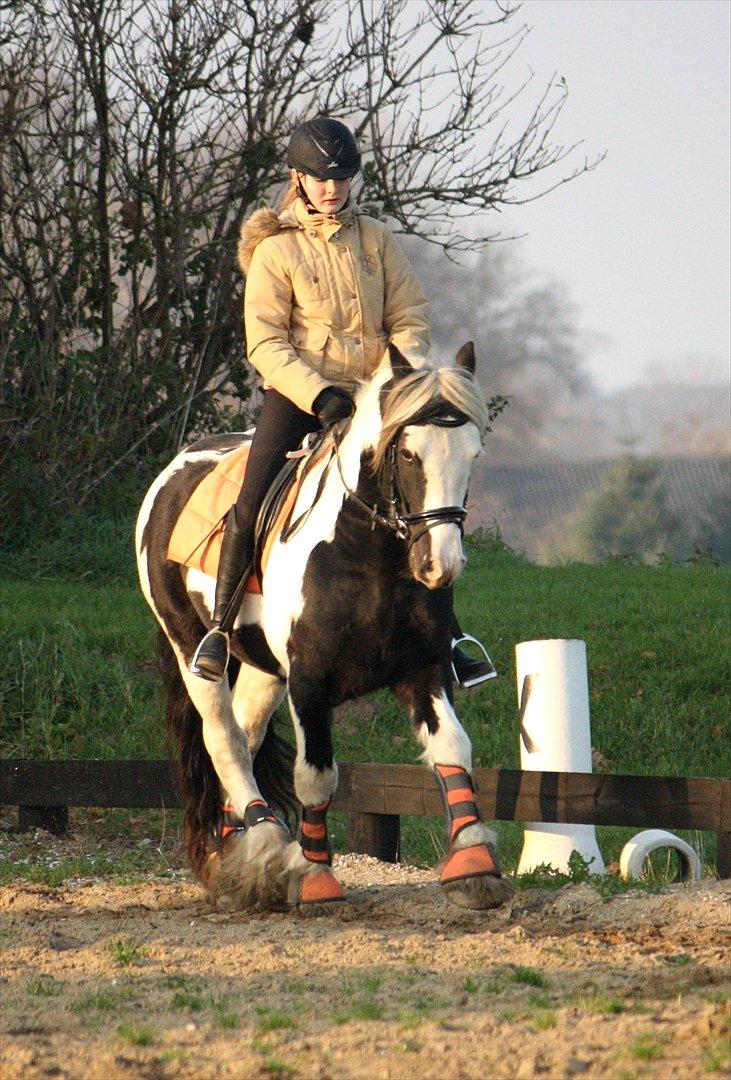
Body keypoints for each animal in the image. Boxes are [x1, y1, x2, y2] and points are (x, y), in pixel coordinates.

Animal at [137, 343, 513, 911]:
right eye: (408, 455)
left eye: (473, 455)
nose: (440, 565)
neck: (368, 559)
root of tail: (175, 470)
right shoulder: (310, 683)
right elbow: (315, 776)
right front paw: (315, 876)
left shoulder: (423, 671)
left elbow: (452, 748)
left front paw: (473, 865)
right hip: (190, 649)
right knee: (223, 738)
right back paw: (268, 844)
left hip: (263, 668)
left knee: (245, 733)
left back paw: (239, 860)